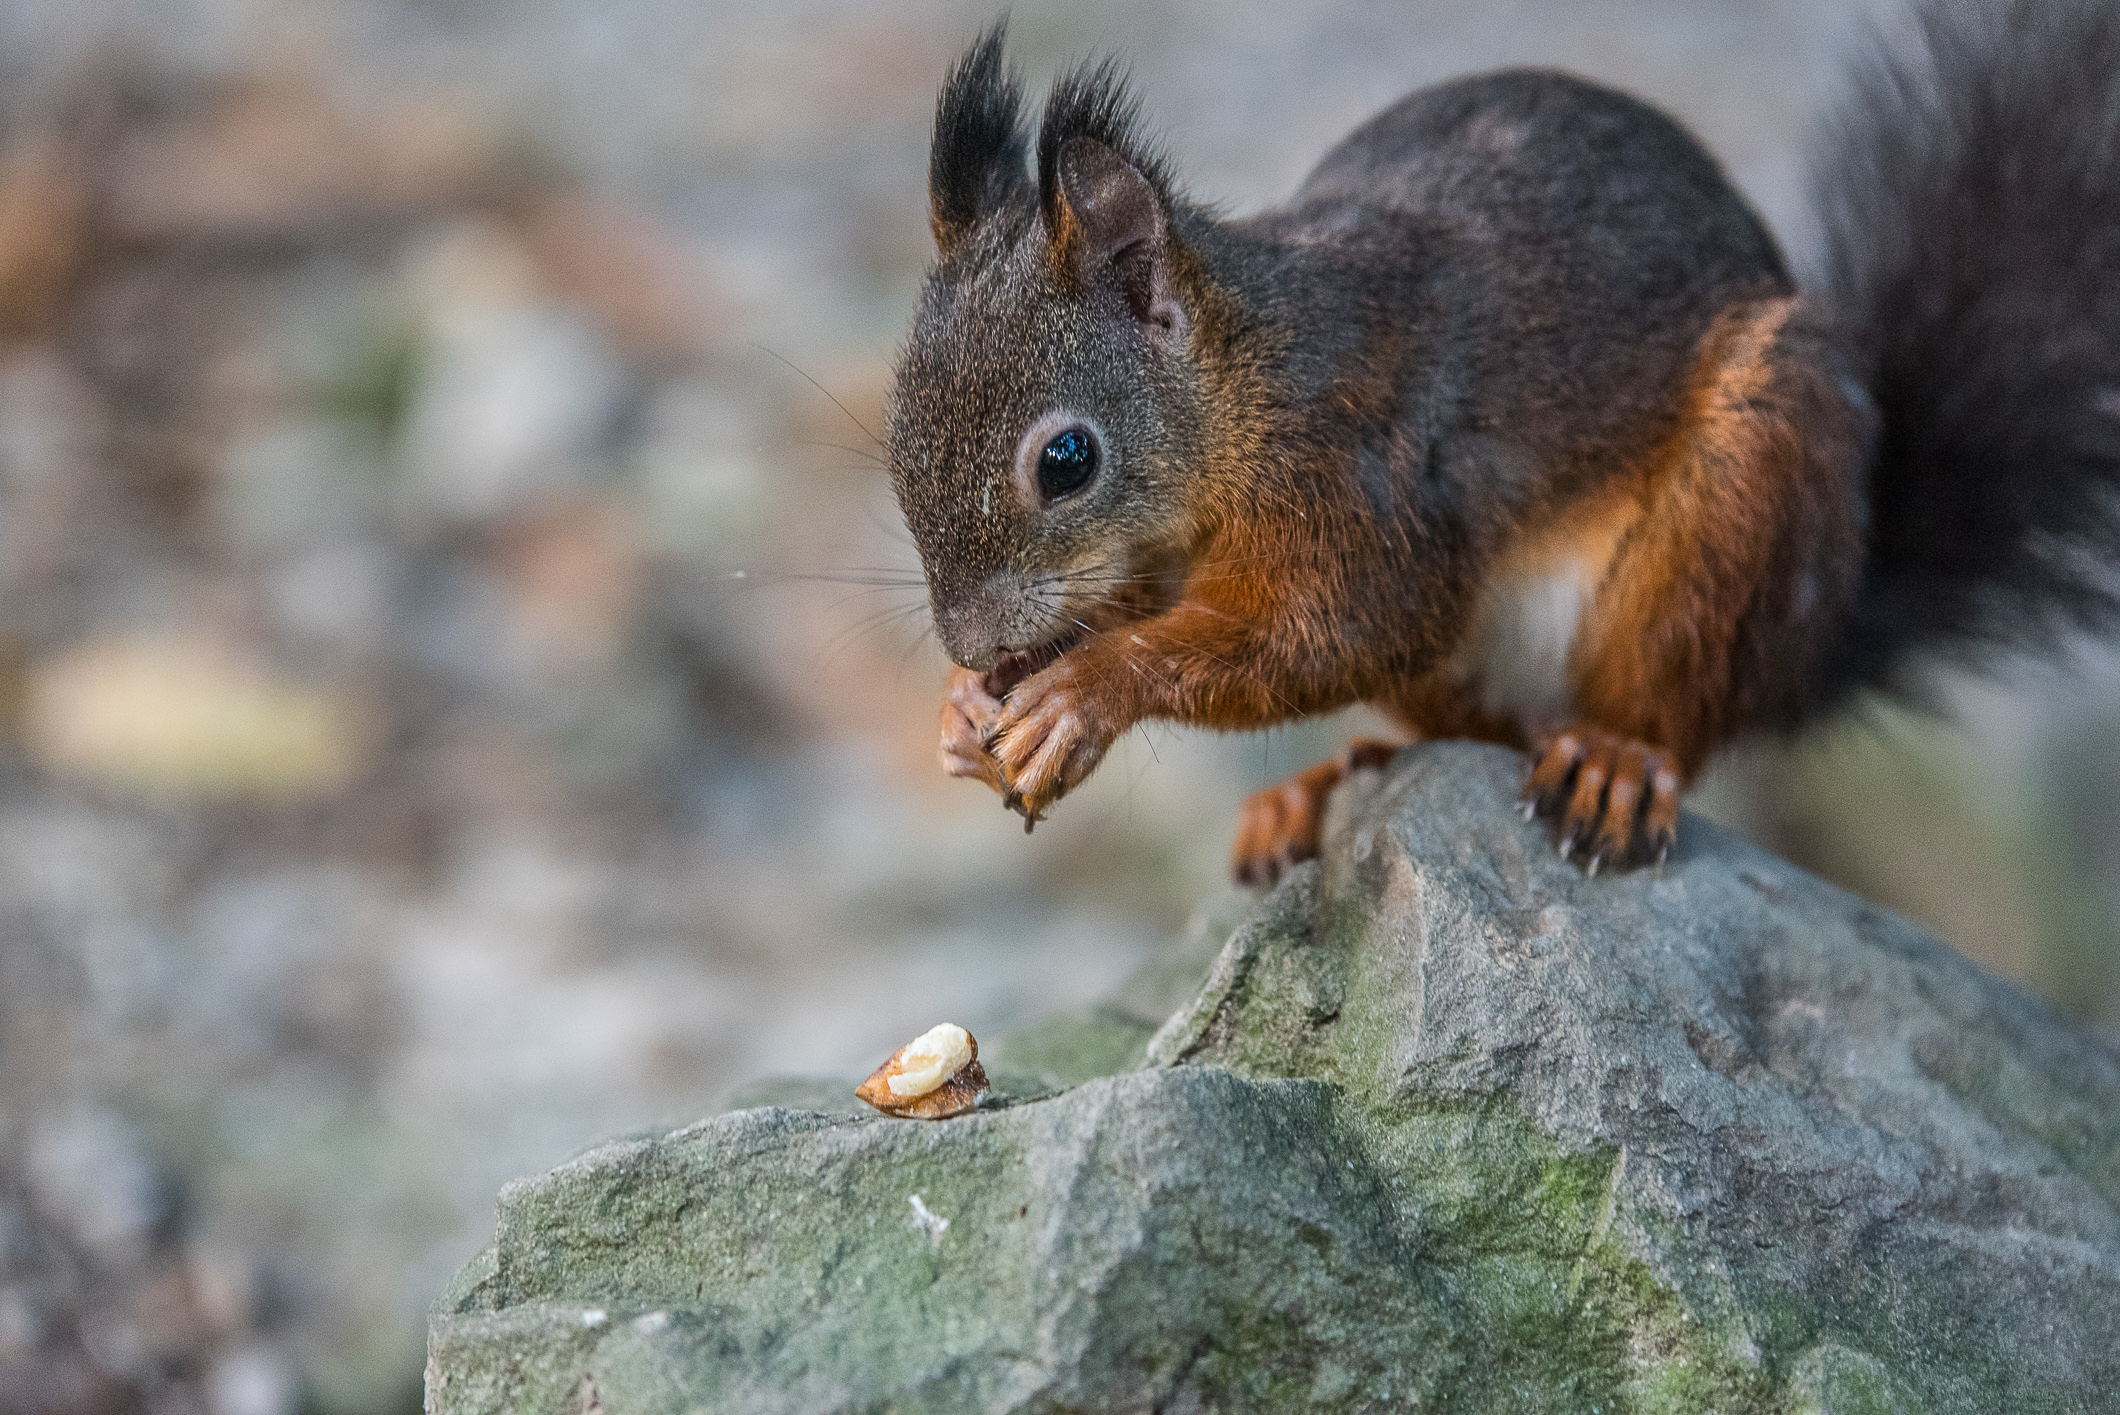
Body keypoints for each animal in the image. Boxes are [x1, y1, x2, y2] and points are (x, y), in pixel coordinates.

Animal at [877, 2, 2120, 886]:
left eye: (1067, 459)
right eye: (894, 440)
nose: (967, 636)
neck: (1241, 392)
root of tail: (1817, 636)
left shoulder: (1364, 480)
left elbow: (1338, 627)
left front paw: (1083, 691)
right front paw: (966, 710)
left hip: (1750, 492)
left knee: (1672, 717)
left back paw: (1614, 764)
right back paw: (1321, 783)